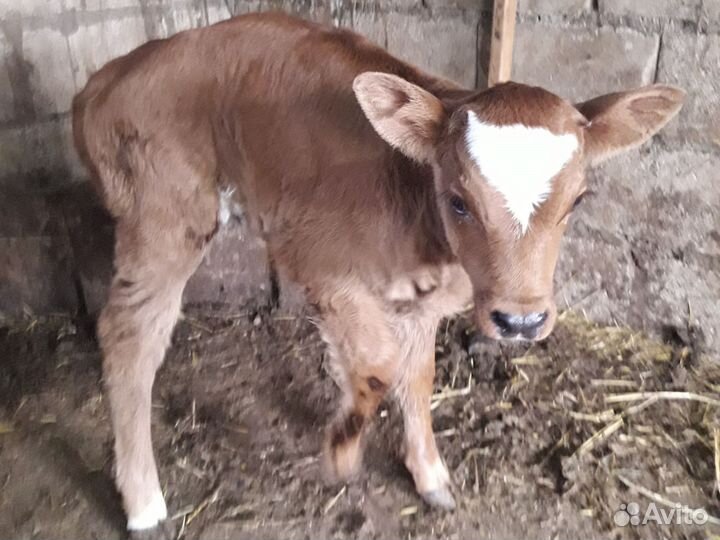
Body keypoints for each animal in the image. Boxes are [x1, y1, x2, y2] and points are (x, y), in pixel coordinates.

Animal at [72, 11, 684, 535]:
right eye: (458, 201)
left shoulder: (423, 299)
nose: (520, 321)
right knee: (130, 335)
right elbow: (375, 367)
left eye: (578, 200)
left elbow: (417, 376)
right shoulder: (323, 266)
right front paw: (342, 452)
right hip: (165, 217)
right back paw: (143, 503)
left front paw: (429, 474)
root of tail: (111, 74)